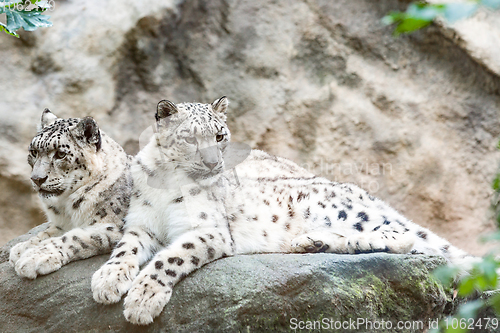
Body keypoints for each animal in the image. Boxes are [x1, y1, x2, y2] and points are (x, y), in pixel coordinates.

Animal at [9, 108, 132, 278]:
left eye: (61, 154)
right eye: (34, 151)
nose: (37, 179)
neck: (66, 207)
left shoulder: (114, 226)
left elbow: (73, 238)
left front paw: (34, 257)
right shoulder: (61, 223)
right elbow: (47, 233)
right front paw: (22, 248)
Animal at [92, 96, 474, 324]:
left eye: (219, 136)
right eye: (190, 138)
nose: (213, 162)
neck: (169, 184)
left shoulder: (208, 230)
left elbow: (170, 257)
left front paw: (142, 299)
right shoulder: (141, 224)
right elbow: (125, 249)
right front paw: (108, 281)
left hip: (344, 209)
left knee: (404, 236)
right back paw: (310, 242)